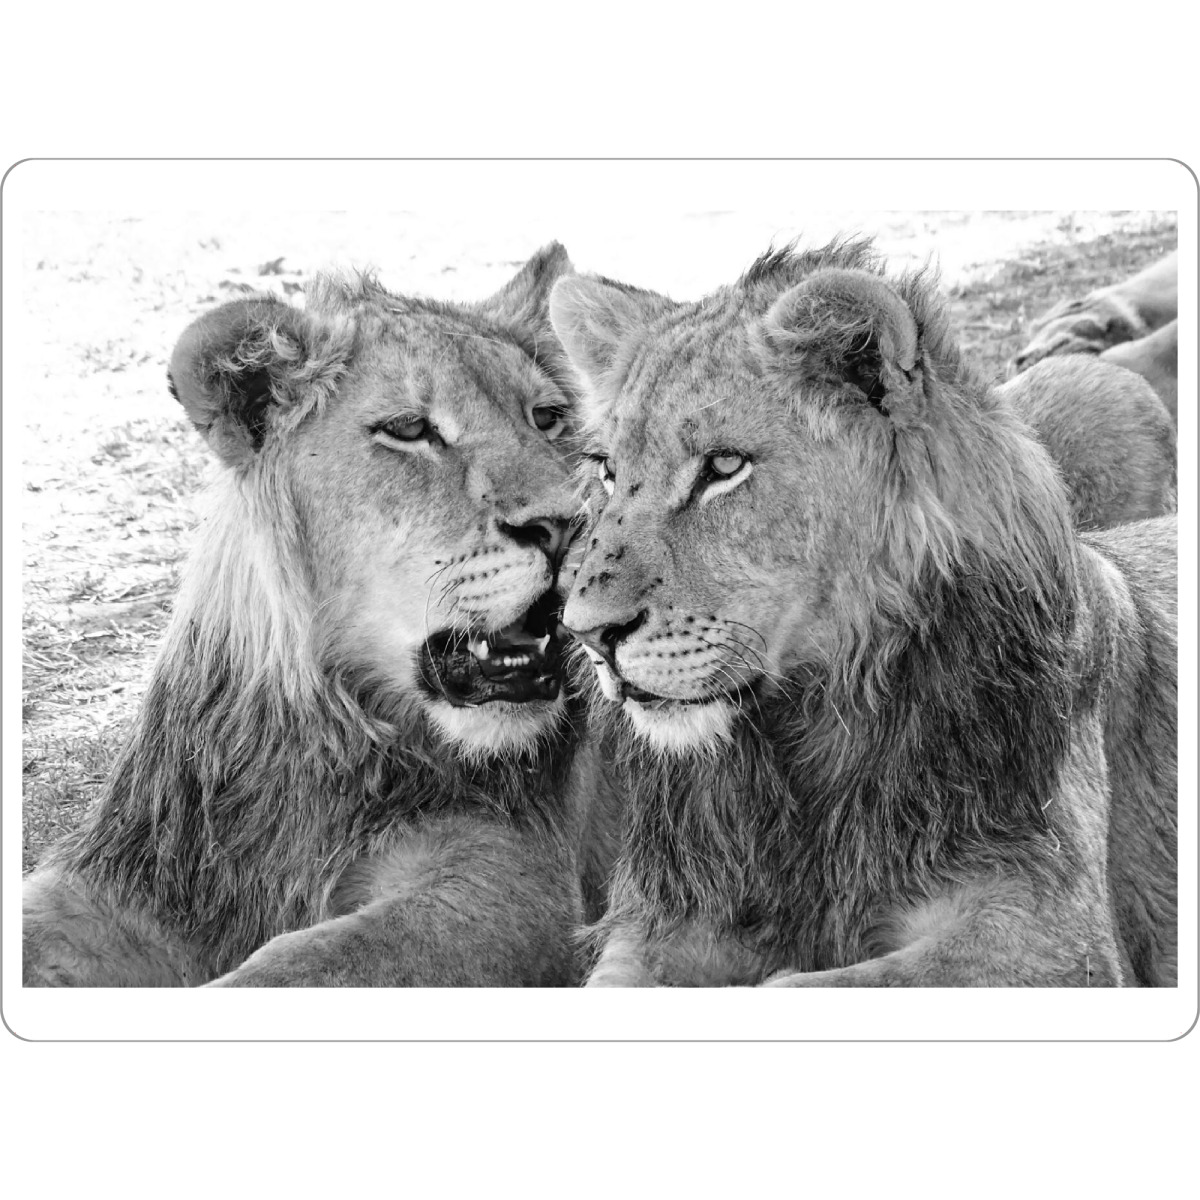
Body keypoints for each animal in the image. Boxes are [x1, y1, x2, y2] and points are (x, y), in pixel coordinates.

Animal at [23, 242, 620, 987]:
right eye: (409, 430)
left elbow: (289, 967)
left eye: (546, 418)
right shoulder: (125, 882)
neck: (314, 737)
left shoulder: (513, 877)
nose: (572, 526)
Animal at [548, 239, 1177, 987]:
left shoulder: (1055, 936)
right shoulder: (665, 920)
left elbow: (791, 986)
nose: (588, 634)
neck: (810, 742)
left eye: (724, 466)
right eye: (608, 472)